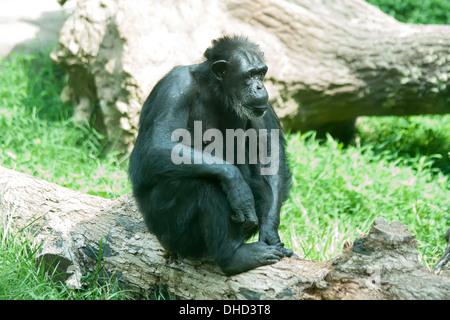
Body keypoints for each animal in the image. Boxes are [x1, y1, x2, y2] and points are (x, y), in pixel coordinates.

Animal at [128, 35, 294, 276]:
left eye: (261, 73)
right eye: (248, 75)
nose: (259, 86)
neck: (216, 89)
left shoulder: (263, 105)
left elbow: (269, 156)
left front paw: (270, 234)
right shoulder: (176, 86)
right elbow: (158, 145)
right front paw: (236, 185)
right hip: (168, 230)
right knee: (206, 183)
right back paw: (234, 256)